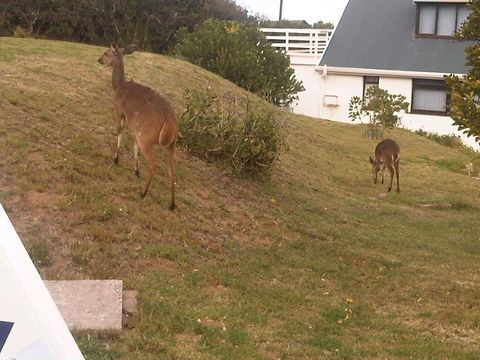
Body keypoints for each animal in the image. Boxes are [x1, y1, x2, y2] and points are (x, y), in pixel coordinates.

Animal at [97, 43, 178, 210]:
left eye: (106, 52)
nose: (99, 60)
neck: (119, 86)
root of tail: (170, 123)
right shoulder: (136, 128)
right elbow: (134, 145)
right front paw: (136, 171)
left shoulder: (120, 111)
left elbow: (119, 131)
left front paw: (116, 159)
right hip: (170, 145)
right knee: (172, 171)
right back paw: (172, 204)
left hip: (147, 138)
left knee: (154, 164)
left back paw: (143, 193)